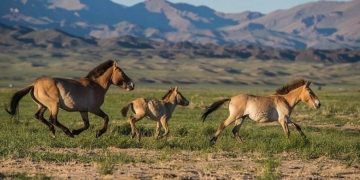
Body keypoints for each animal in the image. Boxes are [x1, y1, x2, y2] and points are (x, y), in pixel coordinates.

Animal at [4, 60, 134, 138]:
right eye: (121, 72)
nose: (132, 85)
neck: (96, 85)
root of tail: (34, 84)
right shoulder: (94, 109)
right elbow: (106, 118)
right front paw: (98, 133)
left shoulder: (83, 110)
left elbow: (86, 124)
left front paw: (76, 131)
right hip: (53, 105)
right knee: (52, 119)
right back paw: (67, 132)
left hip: (43, 105)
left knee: (39, 116)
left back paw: (54, 132)